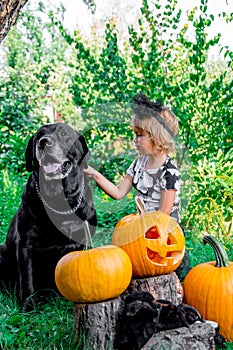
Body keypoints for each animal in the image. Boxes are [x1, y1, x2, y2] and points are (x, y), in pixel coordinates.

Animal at [0, 121, 97, 310]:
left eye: (64, 134)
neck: (59, 200)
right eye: (39, 135)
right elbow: (27, 279)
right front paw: (28, 307)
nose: (44, 142)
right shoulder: (25, 245)